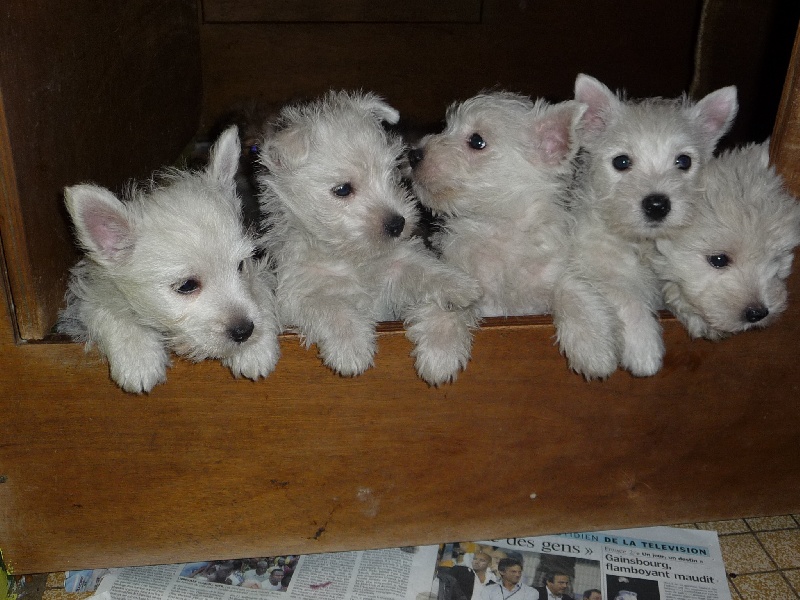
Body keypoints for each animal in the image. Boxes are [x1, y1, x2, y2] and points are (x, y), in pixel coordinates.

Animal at [57, 125, 282, 394]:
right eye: (187, 286)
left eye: (240, 266)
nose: (245, 331)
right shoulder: (89, 295)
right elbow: (109, 309)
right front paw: (138, 357)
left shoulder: (260, 271)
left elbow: (259, 292)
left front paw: (256, 349)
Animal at [260, 91, 478, 386]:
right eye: (342, 189)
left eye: (390, 174)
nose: (398, 224)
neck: (351, 258)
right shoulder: (296, 296)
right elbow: (331, 305)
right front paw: (352, 348)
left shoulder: (397, 266)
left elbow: (425, 271)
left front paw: (458, 289)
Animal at [560, 74, 740, 376]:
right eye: (621, 161)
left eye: (684, 161)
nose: (657, 205)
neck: (639, 242)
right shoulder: (593, 264)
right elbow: (625, 294)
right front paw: (644, 349)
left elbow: (676, 282)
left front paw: (697, 310)